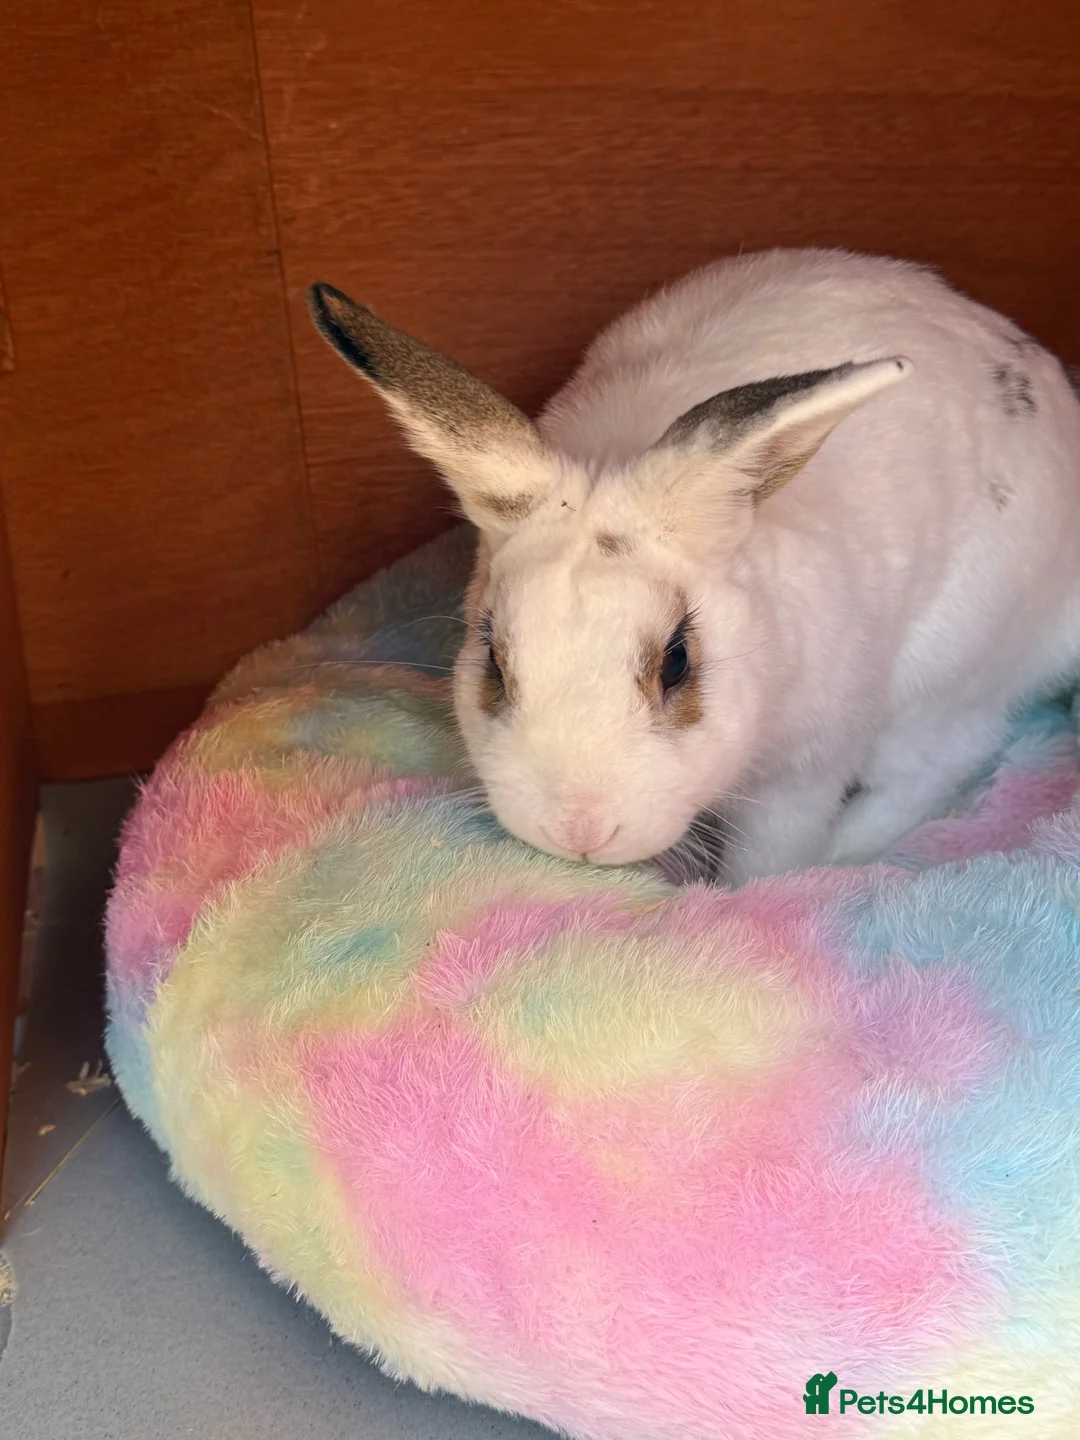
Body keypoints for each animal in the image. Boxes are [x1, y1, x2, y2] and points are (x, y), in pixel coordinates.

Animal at [308, 248, 1080, 884]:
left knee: (945, 762)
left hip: (951, 675)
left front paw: (744, 893)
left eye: (677, 661)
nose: (580, 831)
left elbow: (772, 850)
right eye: (493, 662)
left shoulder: (804, 773)